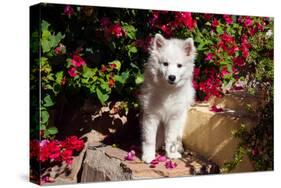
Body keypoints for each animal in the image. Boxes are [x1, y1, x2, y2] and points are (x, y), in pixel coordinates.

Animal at [139, 33, 196, 163]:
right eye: (165, 64)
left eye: (179, 65)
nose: (172, 77)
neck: (167, 90)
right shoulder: (151, 116)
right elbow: (149, 139)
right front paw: (148, 156)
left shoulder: (174, 117)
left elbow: (171, 138)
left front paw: (171, 154)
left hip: (182, 117)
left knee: (178, 136)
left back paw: (178, 147)